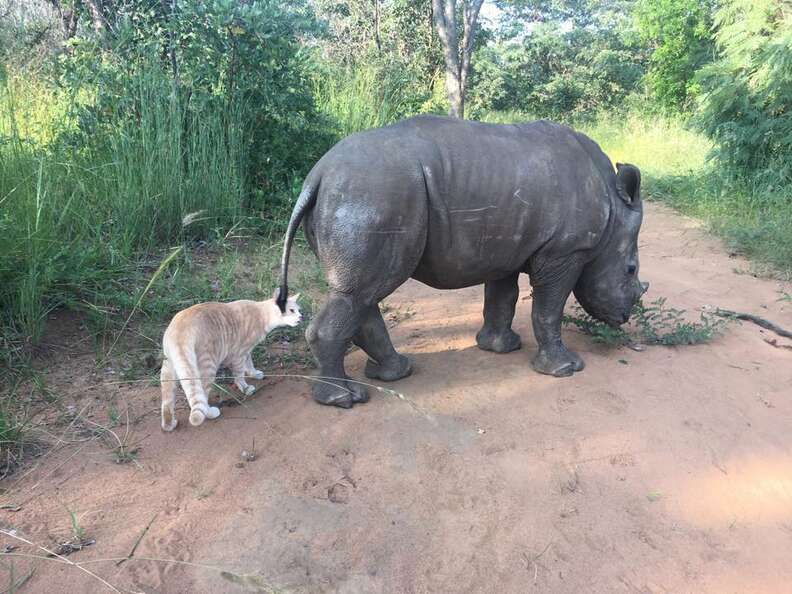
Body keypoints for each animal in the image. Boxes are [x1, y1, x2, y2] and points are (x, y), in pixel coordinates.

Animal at [159, 288, 302, 430]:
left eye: (299, 310)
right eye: (291, 310)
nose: (302, 317)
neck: (262, 314)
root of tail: (179, 329)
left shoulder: (246, 351)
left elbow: (249, 363)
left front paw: (254, 373)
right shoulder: (239, 353)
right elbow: (239, 375)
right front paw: (245, 388)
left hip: (168, 370)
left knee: (167, 402)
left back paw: (169, 424)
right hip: (208, 366)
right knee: (202, 397)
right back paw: (211, 413)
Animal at [276, 113, 648, 404]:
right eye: (630, 270)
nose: (623, 317)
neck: (614, 207)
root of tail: (318, 174)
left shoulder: (507, 244)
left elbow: (502, 297)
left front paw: (500, 347)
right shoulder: (566, 251)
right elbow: (549, 307)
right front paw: (566, 369)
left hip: (361, 194)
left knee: (361, 294)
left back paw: (395, 373)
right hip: (371, 194)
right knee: (361, 291)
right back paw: (344, 400)